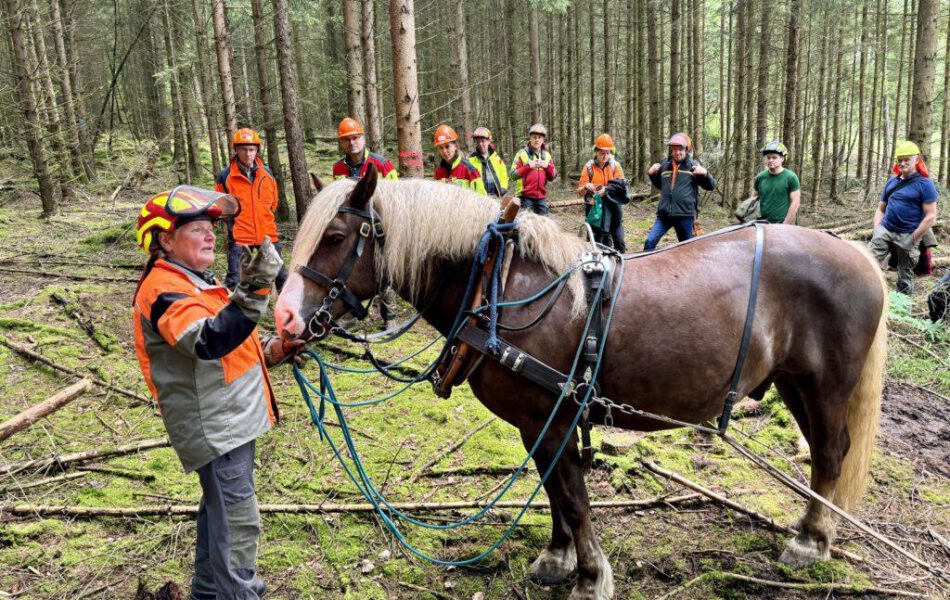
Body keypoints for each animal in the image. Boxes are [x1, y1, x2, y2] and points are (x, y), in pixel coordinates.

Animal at [274, 165, 884, 600]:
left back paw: (809, 541)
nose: (283, 321)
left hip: (826, 386)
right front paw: (557, 558)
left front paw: (591, 577)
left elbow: (573, 497)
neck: (501, 290)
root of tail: (853, 250)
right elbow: (552, 491)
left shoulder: (550, 418)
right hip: (793, 384)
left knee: (831, 452)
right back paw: (813, 530)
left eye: (335, 236)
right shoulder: (539, 424)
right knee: (826, 454)